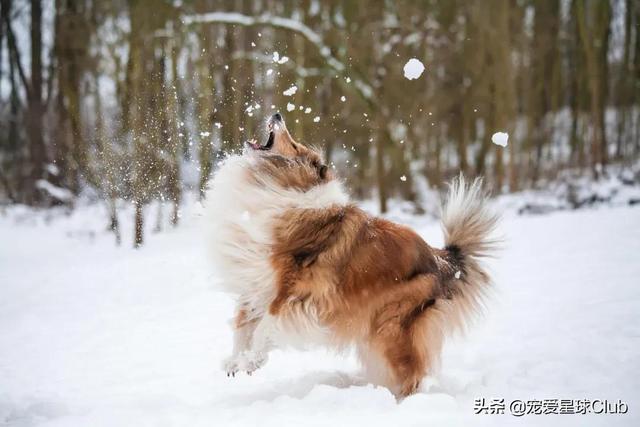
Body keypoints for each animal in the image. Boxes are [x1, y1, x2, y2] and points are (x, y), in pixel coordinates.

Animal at [206, 113, 500, 398]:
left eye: (295, 145)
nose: (277, 114)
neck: (286, 188)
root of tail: (441, 259)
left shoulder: (296, 292)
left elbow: (266, 325)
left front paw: (250, 361)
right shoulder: (257, 282)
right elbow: (243, 324)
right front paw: (236, 360)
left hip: (391, 328)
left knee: (411, 373)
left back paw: (399, 401)